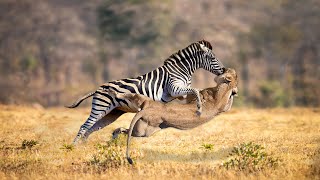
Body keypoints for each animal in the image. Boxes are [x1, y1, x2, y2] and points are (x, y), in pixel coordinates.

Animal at [66, 40, 225, 144]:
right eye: (212, 58)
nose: (223, 70)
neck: (181, 70)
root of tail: (98, 89)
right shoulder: (174, 88)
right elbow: (196, 90)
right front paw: (199, 109)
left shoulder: (181, 94)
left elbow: (196, 91)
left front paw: (203, 103)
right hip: (100, 107)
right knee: (84, 126)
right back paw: (74, 147)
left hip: (111, 113)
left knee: (92, 128)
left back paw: (84, 147)